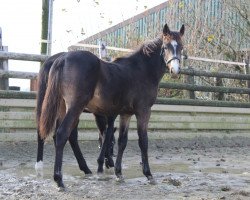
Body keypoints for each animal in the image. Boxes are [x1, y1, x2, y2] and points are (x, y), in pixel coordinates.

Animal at [38, 23, 184, 189]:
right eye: (165, 47)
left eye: (181, 47)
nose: (175, 70)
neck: (142, 70)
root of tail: (62, 59)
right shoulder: (143, 111)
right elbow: (143, 141)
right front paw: (148, 174)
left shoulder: (125, 114)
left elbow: (122, 141)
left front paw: (119, 173)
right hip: (75, 107)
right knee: (63, 134)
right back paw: (60, 180)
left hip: (63, 108)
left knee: (58, 136)